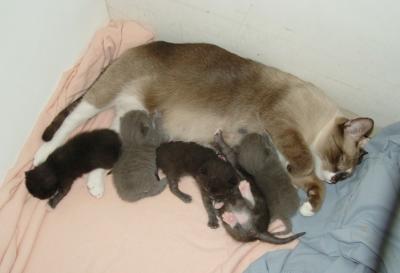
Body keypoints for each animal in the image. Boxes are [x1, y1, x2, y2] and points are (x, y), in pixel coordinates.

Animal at [32, 41, 374, 215]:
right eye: (342, 161)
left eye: (345, 176)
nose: (335, 179)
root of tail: (137, 47)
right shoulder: (282, 123)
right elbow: (302, 159)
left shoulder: (290, 162)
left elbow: (311, 185)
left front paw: (310, 206)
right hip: (100, 97)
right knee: (67, 125)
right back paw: (41, 155)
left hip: (129, 116)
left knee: (110, 147)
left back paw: (95, 185)